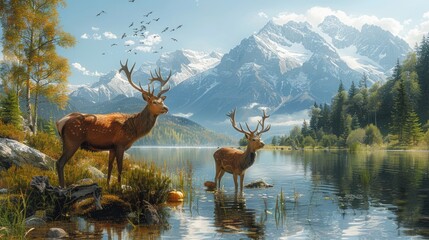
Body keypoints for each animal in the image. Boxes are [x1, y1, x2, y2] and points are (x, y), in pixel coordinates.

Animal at [55, 60, 171, 188]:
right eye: (154, 102)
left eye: (162, 101)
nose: (166, 108)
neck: (134, 129)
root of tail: (60, 122)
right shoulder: (120, 144)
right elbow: (120, 168)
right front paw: (119, 187)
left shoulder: (111, 148)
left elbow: (110, 167)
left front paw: (108, 185)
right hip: (73, 140)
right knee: (59, 163)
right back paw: (62, 187)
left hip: (66, 141)